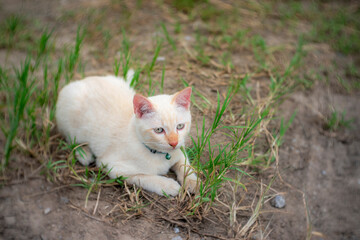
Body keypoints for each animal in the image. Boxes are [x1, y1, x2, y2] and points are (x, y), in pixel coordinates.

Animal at [55, 70, 198, 196]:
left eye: (180, 126)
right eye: (159, 130)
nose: (173, 143)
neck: (161, 155)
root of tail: (83, 80)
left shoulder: (180, 150)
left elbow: (185, 164)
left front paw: (192, 182)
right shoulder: (112, 167)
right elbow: (144, 177)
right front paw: (167, 185)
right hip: (70, 121)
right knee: (71, 140)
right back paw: (84, 153)